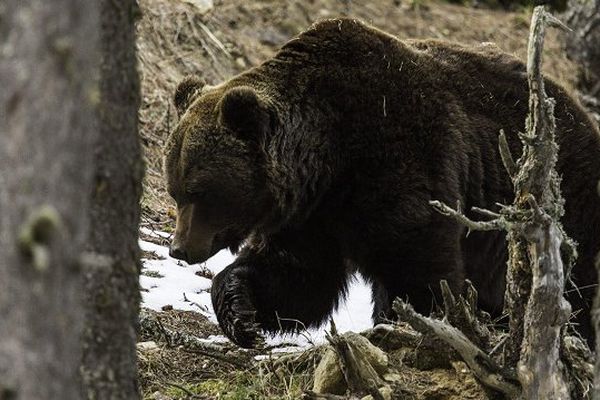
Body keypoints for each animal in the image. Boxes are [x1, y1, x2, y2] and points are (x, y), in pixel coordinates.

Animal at [164, 18, 600, 348]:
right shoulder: (311, 217)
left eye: (200, 192)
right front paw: (240, 310)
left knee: (574, 288)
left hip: (561, 197)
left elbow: (418, 266)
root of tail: (579, 110)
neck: (329, 155)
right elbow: (299, 277)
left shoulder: (402, 161)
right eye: (176, 189)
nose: (178, 248)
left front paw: (406, 325)